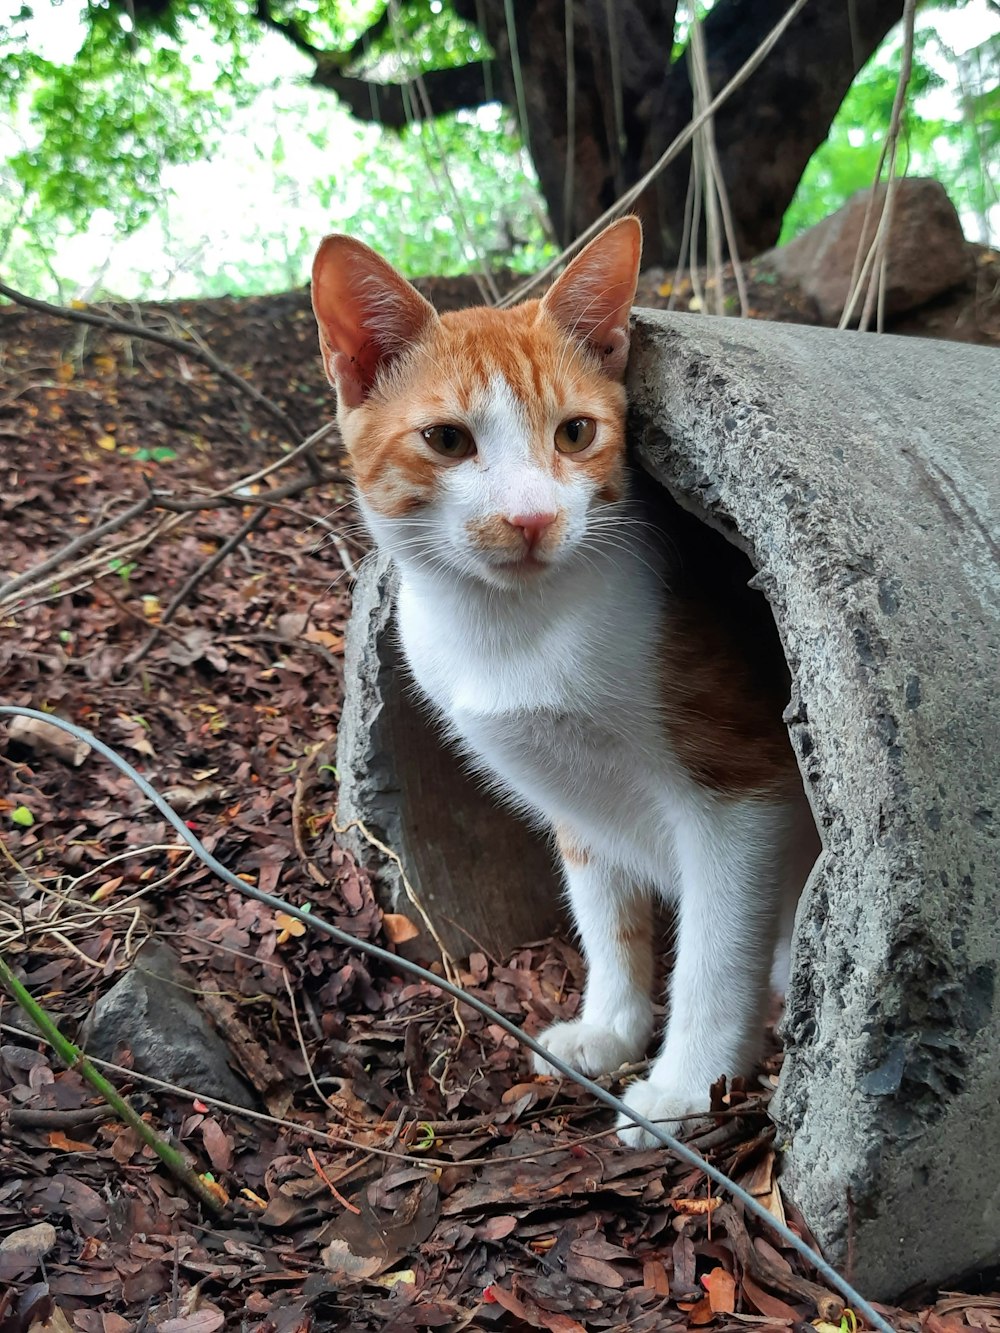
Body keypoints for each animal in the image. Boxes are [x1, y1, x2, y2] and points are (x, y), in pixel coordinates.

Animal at [314, 218, 821, 1146]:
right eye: (448, 440)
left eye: (576, 433)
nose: (532, 517)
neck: (518, 631)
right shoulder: (576, 803)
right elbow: (605, 918)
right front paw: (610, 1029)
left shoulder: (744, 794)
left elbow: (714, 949)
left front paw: (686, 1085)